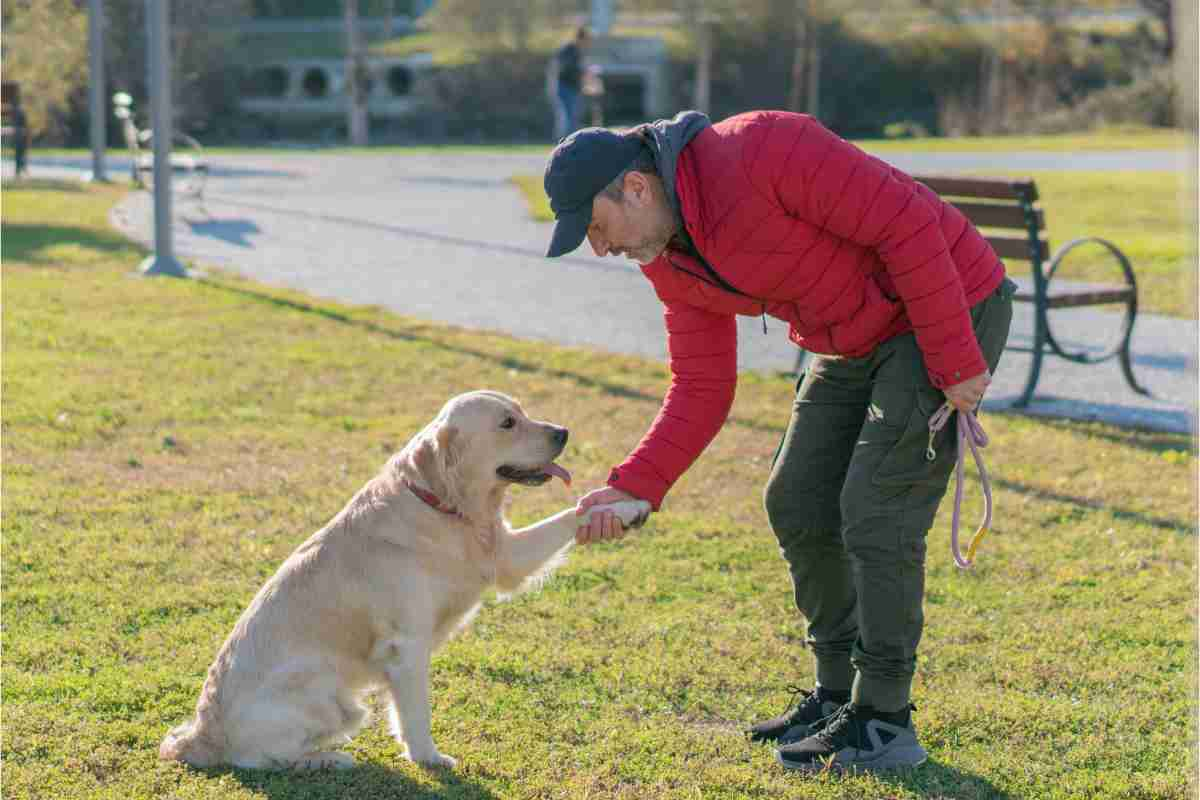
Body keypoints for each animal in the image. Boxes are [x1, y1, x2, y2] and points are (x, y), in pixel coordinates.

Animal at [160, 391, 652, 772]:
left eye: (522, 410)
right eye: (508, 423)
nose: (563, 432)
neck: (442, 506)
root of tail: (201, 733)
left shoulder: (505, 556)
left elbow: (572, 515)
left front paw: (626, 505)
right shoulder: (408, 645)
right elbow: (417, 712)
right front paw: (429, 757)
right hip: (328, 692)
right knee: (256, 758)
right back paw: (327, 760)